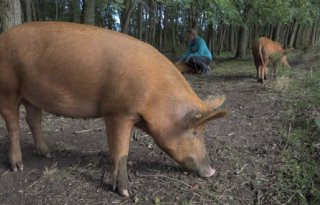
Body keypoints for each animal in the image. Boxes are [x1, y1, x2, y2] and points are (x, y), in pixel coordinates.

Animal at [0, 22, 228, 197]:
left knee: (33, 120)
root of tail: (3, 37)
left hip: (32, 95)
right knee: (13, 124)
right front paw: (126, 193)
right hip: (8, 88)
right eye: (195, 132)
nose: (212, 171)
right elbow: (121, 151)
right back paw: (17, 166)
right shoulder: (117, 112)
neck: (155, 96)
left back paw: (47, 154)